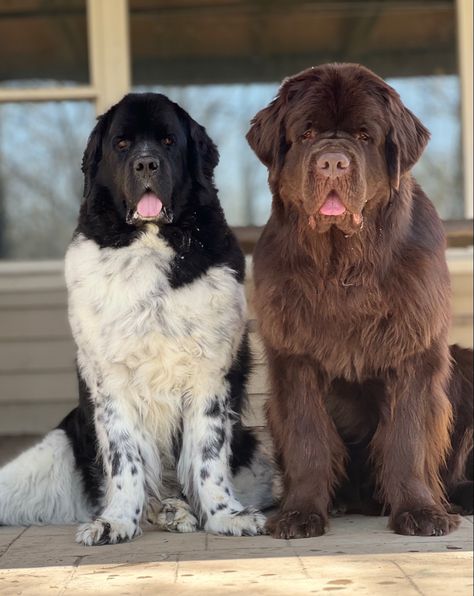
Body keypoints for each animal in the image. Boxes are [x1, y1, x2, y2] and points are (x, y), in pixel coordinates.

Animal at [0, 94, 272, 544]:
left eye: (168, 141)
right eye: (122, 144)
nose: (147, 163)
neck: (148, 242)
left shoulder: (211, 374)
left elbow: (208, 454)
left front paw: (226, 516)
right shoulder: (110, 378)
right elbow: (124, 456)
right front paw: (116, 521)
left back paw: (179, 510)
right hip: (57, 446)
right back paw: (164, 512)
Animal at [246, 62, 472, 536]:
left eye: (365, 135)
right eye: (308, 133)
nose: (333, 161)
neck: (343, 267)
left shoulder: (415, 351)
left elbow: (407, 437)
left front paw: (421, 511)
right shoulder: (294, 358)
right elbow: (308, 437)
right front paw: (300, 513)